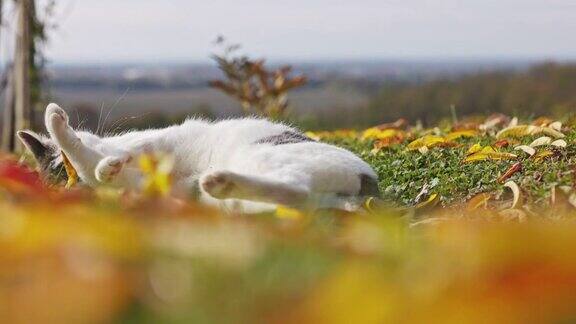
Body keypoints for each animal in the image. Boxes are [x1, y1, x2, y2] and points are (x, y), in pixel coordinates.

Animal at [18, 102, 380, 211]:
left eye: (64, 171)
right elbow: (94, 164)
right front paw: (106, 170)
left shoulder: (158, 140)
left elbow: (104, 154)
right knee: (294, 194)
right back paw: (219, 182)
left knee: (296, 189)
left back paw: (218, 179)